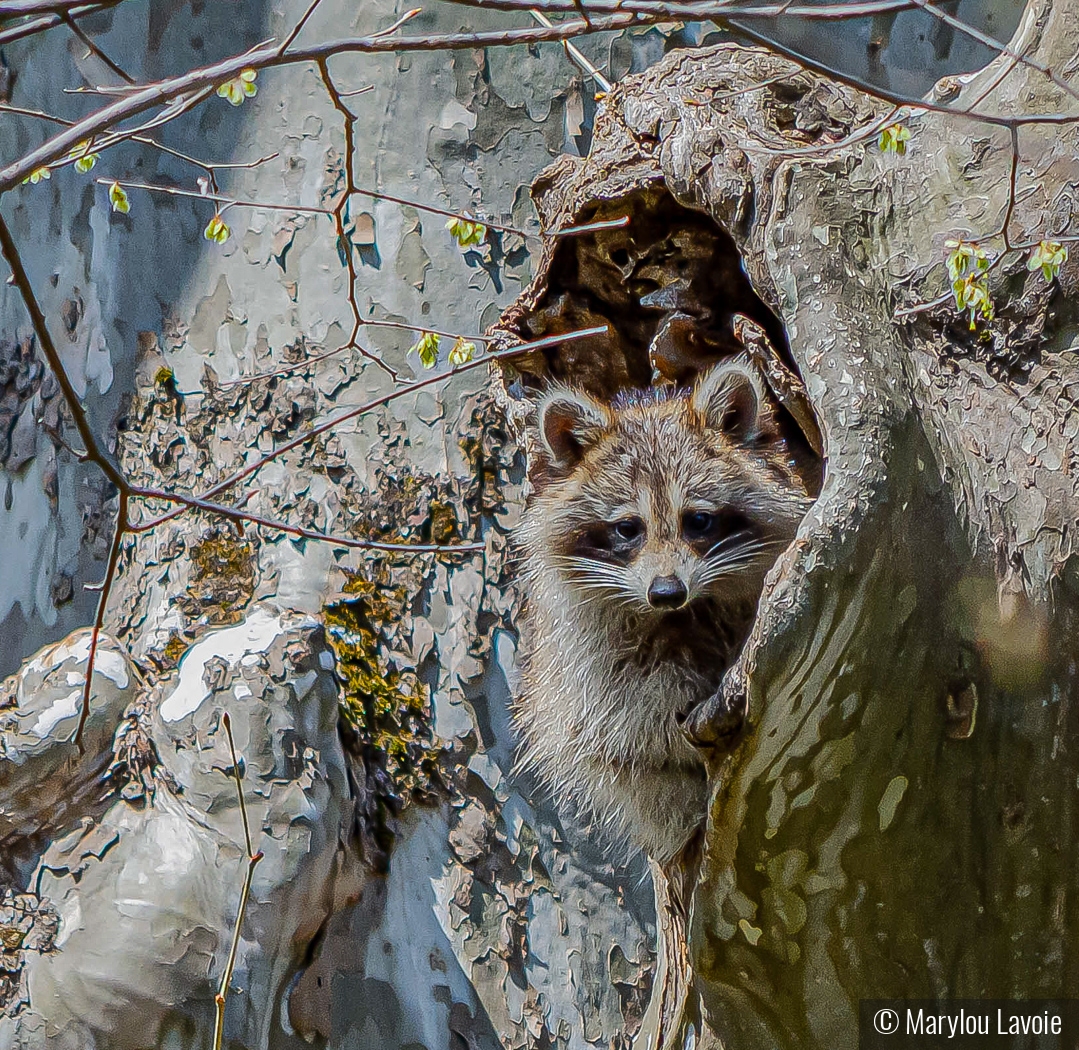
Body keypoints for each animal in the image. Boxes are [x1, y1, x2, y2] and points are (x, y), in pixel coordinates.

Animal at [511, 356, 811, 863]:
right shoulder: (585, 652)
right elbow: (627, 715)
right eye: (627, 528)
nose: (667, 590)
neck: (681, 615)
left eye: (699, 520)